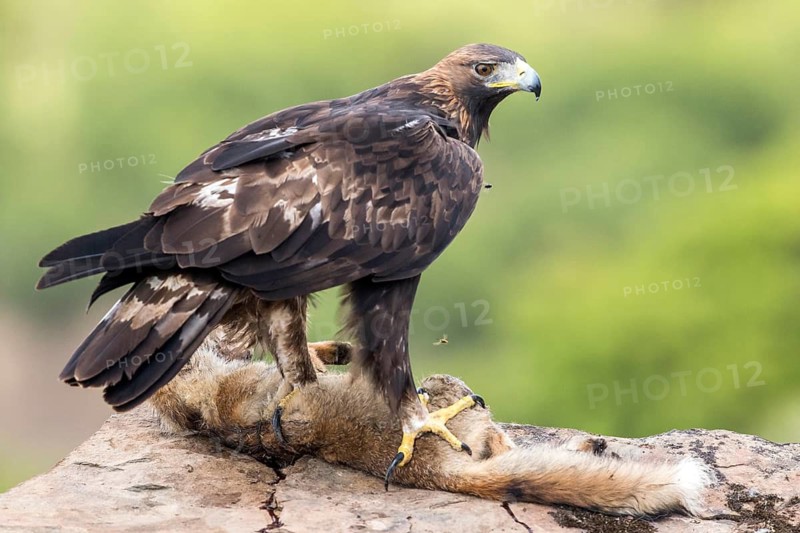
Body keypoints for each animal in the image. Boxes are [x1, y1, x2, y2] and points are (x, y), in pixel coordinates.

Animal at [149, 331, 713, 518]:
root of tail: (438, 474)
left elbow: (305, 356)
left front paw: (336, 349)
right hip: (447, 390)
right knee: (499, 442)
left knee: (511, 454)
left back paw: (589, 447)